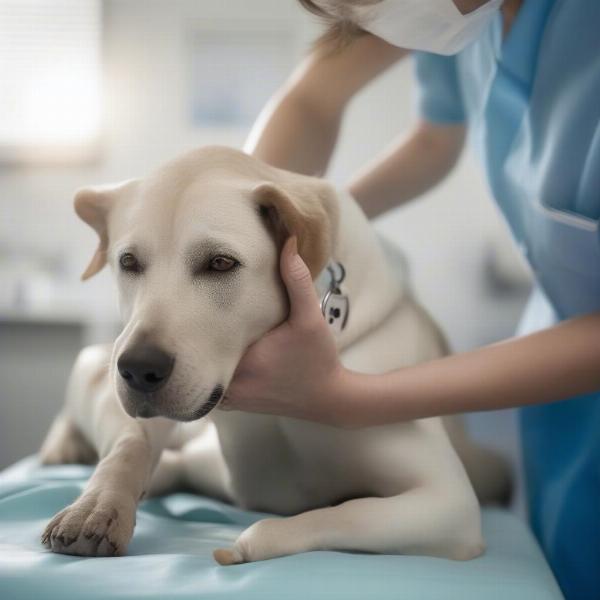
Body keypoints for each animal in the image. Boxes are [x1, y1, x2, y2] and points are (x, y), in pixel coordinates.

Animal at [38, 144, 506, 564]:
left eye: (221, 263)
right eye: (129, 262)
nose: (138, 369)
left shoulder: (448, 502)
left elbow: (338, 514)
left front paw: (247, 545)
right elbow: (129, 445)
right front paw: (98, 507)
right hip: (98, 365)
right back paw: (66, 447)